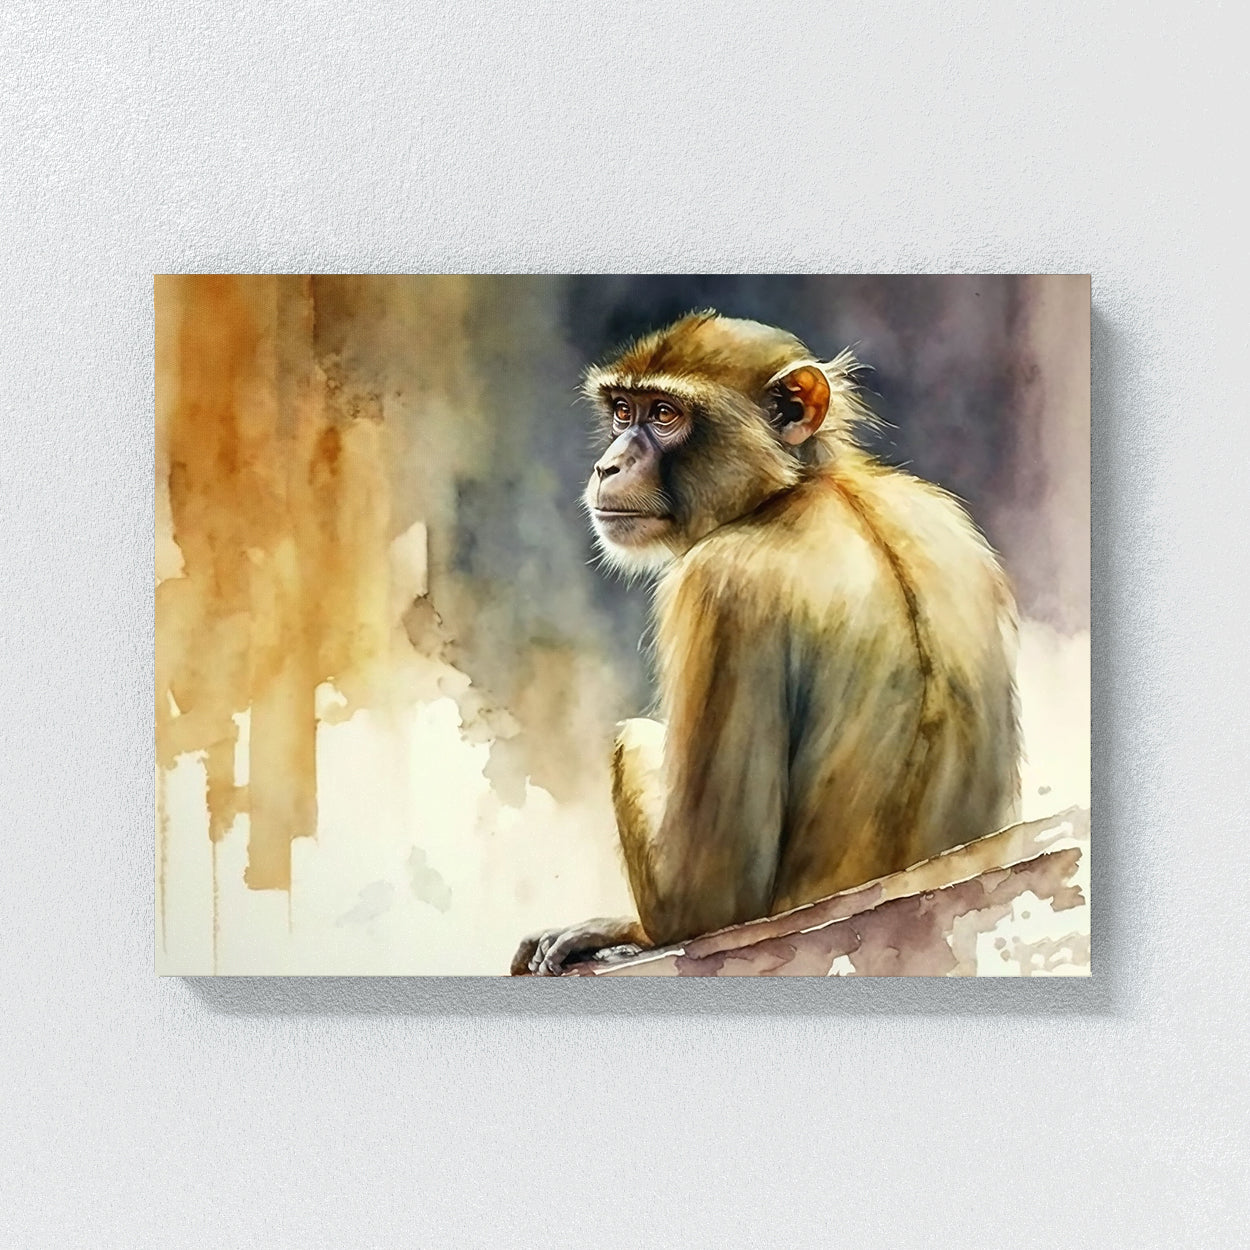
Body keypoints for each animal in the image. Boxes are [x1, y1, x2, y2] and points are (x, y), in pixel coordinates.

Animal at [511, 311, 1020, 976]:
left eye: (665, 415)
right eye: (623, 411)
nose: (609, 465)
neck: (802, 486)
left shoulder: (714, 586)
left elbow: (704, 903)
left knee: (632, 739)